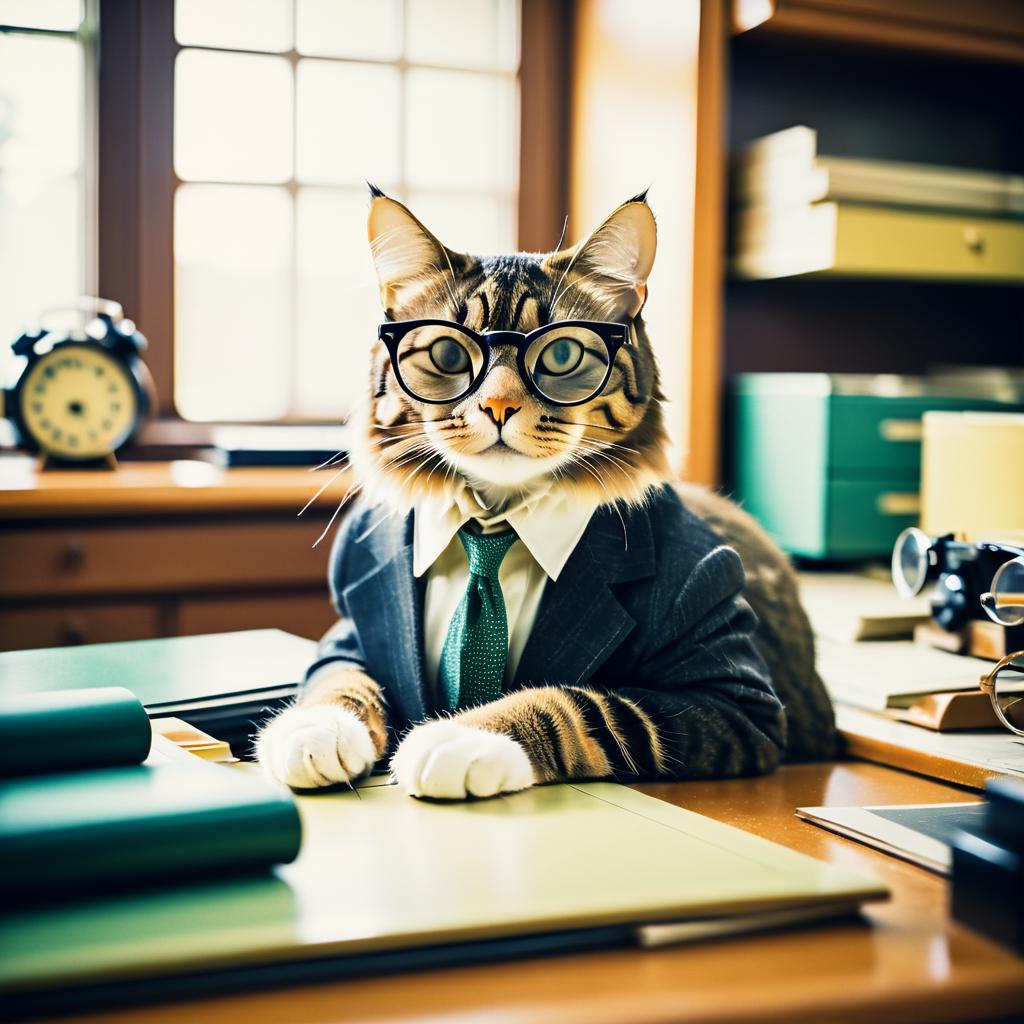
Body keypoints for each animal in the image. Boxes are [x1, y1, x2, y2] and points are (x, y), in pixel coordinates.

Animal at [256, 188, 831, 794]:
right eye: (448, 354)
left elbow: (585, 707)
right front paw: (314, 731)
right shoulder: (348, 633)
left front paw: (460, 737)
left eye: (560, 355)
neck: (492, 520)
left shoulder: (735, 703)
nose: (499, 406)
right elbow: (340, 679)